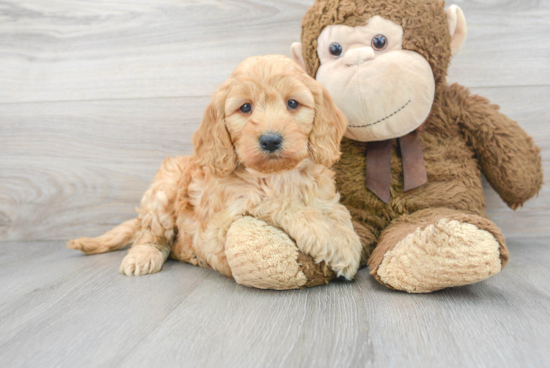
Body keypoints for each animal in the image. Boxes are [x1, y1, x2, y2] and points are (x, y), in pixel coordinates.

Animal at [68, 54, 362, 278]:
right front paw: (326, 235)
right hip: (163, 188)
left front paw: (345, 240)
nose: (270, 140)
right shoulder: (218, 229)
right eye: (245, 108)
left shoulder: (324, 196)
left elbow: (339, 213)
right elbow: (276, 202)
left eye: (292, 103)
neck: (276, 176)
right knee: (152, 235)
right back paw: (144, 256)